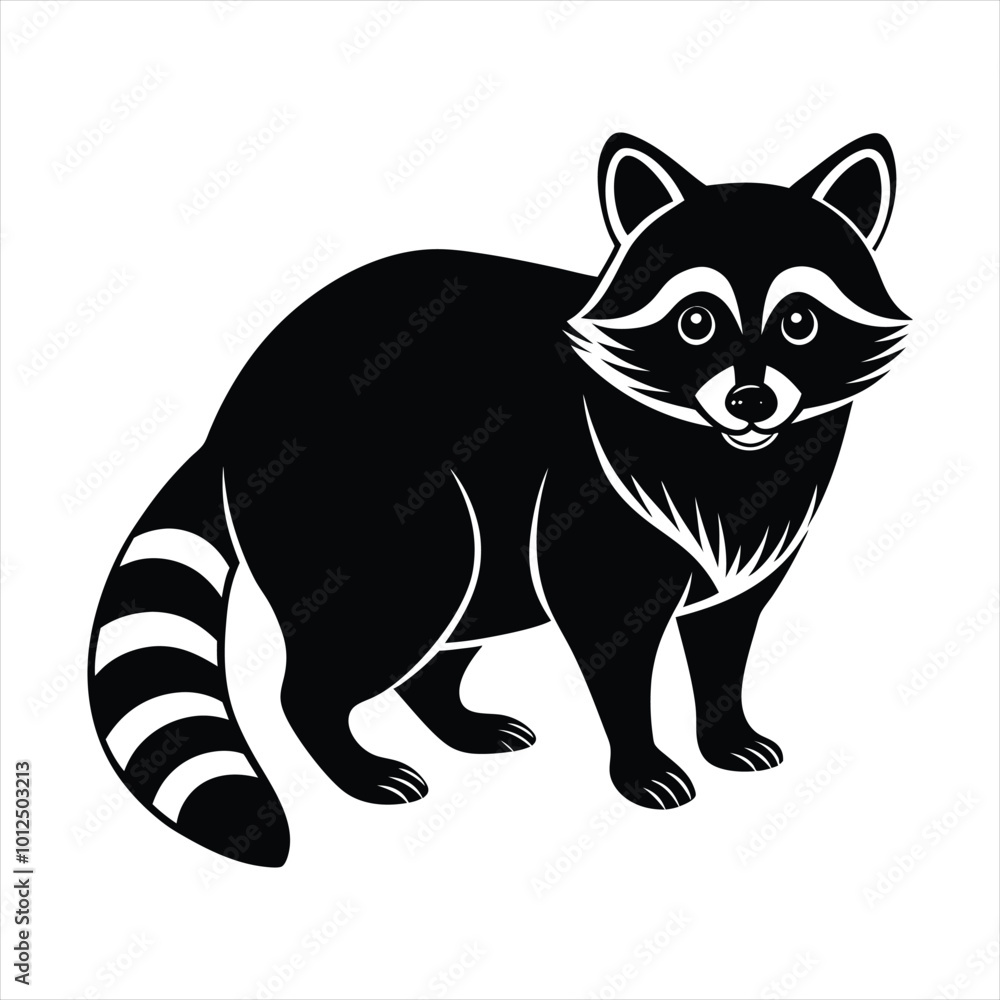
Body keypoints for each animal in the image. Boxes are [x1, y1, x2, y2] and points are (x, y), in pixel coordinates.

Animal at [88, 133, 908, 865]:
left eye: (798, 321)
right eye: (697, 320)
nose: (751, 399)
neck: (722, 450)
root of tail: (234, 405)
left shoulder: (760, 527)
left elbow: (725, 637)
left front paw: (724, 730)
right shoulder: (596, 488)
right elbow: (611, 638)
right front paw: (641, 759)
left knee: (464, 611)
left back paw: (450, 713)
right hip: (357, 488)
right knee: (391, 612)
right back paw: (348, 756)